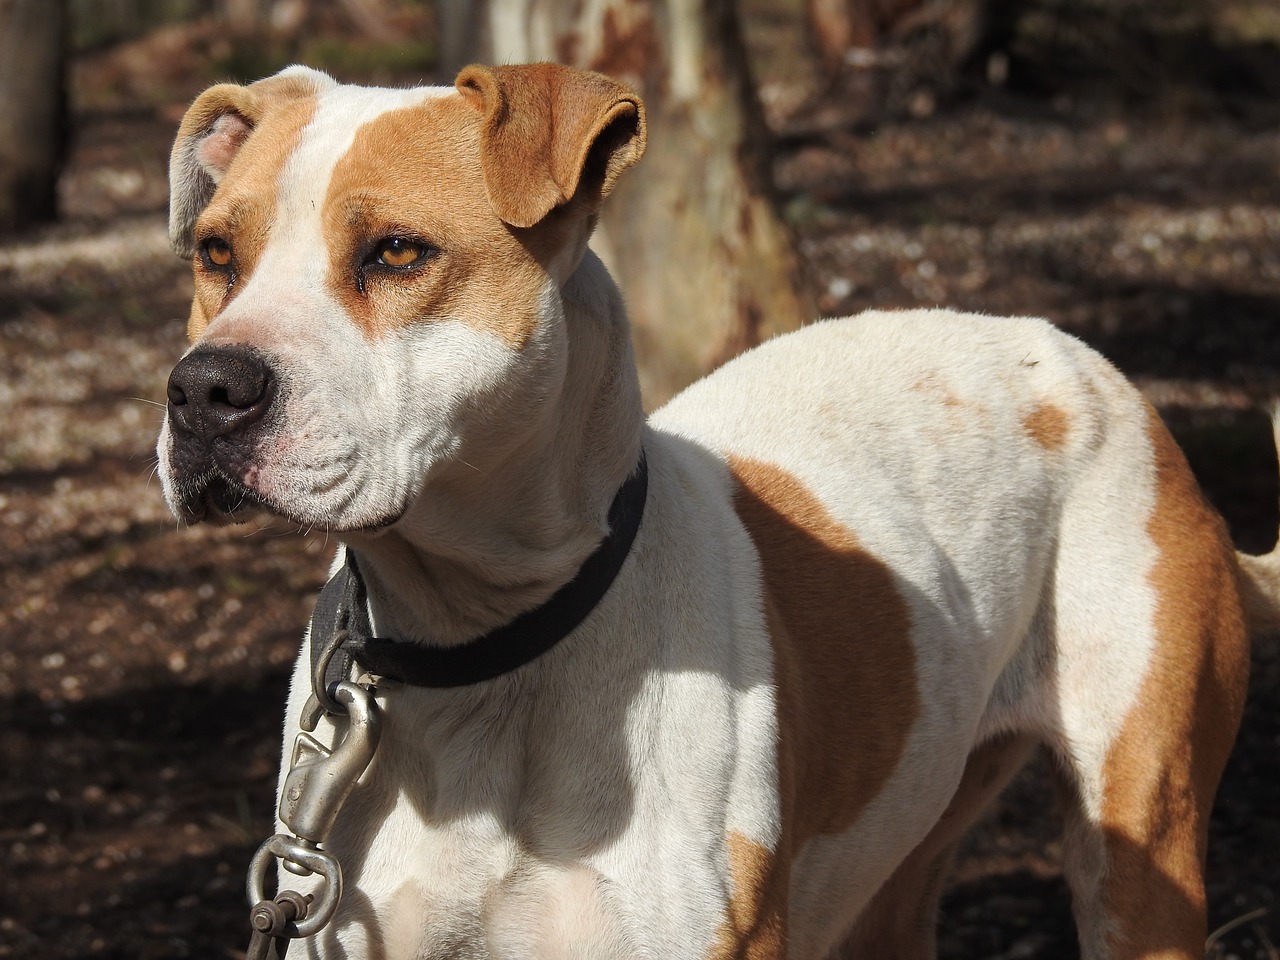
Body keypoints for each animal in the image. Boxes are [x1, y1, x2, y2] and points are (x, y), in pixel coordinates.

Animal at [154, 64, 1274, 957]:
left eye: (395, 252)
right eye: (215, 255)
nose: (205, 390)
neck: (482, 644)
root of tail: (1088, 363)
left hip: (1143, 849)